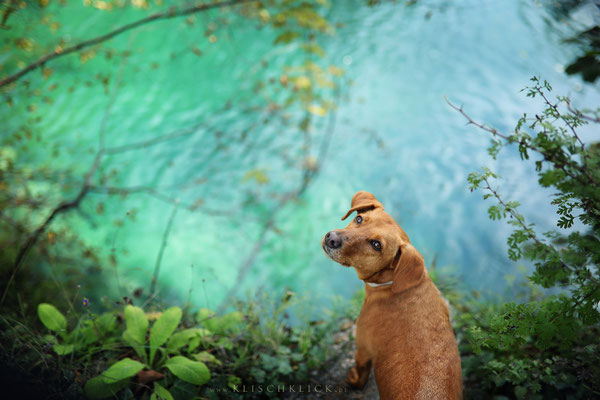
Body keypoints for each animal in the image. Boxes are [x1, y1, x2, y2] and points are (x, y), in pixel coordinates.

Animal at [322, 191, 462, 400]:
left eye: (376, 245)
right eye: (358, 219)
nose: (331, 238)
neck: (393, 283)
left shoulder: (363, 349)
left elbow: (360, 376)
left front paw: (353, 380)